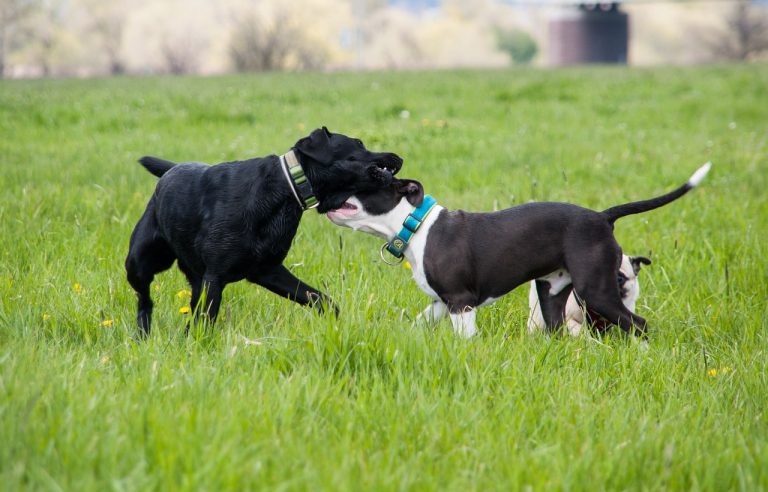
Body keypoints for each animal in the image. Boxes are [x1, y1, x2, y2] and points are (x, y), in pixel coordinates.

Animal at [126, 127, 402, 336]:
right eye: (358, 143)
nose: (398, 157)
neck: (285, 190)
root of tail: (171, 170)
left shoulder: (267, 270)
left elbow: (321, 299)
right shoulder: (215, 277)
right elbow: (206, 320)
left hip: (195, 278)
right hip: (139, 262)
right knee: (144, 300)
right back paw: (143, 335)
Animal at [328, 163, 712, 336]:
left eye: (365, 177)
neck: (417, 224)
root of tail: (602, 217)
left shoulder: (460, 301)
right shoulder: (440, 302)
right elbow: (417, 323)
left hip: (596, 289)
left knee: (639, 324)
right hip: (552, 293)